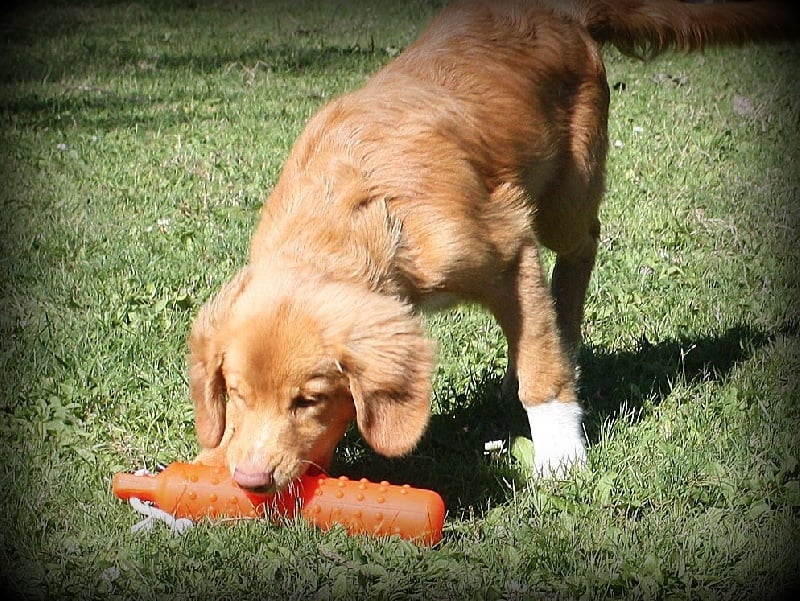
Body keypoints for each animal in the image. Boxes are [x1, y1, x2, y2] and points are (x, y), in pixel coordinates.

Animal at [188, 0, 797, 492]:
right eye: (235, 393)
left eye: (308, 399)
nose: (249, 480)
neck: (349, 215)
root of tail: (560, 11)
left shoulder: (508, 251)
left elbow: (541, 366)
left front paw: (560, 454)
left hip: (565, 197)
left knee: (579, 253)